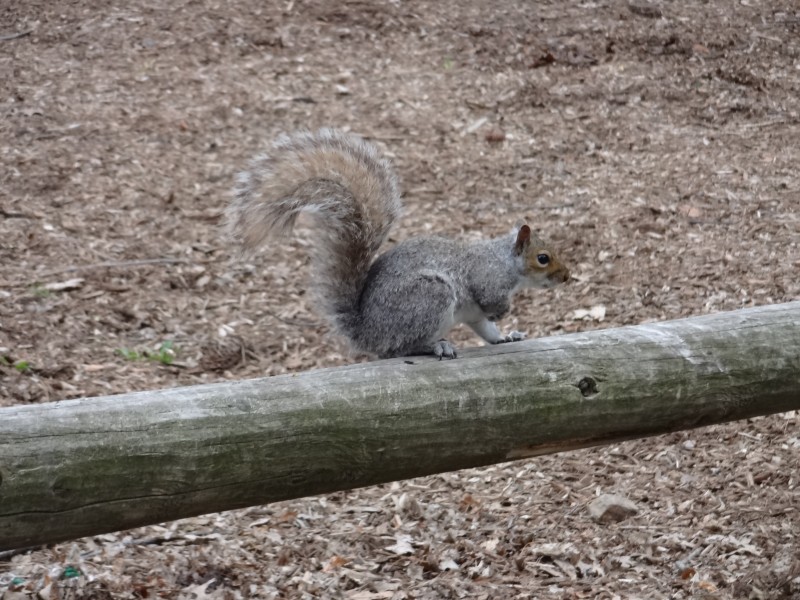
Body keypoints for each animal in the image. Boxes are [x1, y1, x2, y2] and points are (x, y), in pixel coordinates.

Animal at [228, 128, 572, 358]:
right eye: (543, 258)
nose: (567, 276)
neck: (505, 260)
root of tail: (367, 333)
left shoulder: (474, 315)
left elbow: (484, 328)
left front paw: (504, 338)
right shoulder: (487, 278)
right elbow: (488, 298)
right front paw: (503, 312)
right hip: (429, 298)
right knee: (401, 348)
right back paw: (436, 346)